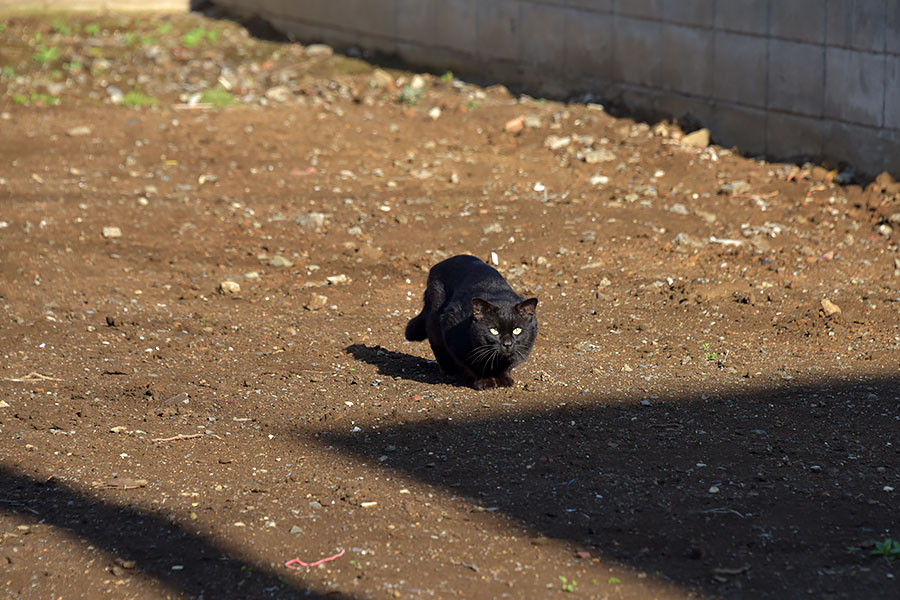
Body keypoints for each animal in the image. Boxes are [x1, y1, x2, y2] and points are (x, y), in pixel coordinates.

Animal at [404, 254, 536, 390]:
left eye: (517, 330)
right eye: (494, 331)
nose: (507, 344)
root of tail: (437, 266)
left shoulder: (524, 347)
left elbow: (509, 364)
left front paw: (504, 379)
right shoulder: (451, 330)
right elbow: (473, 362)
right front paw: (485, 381)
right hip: (435, 320)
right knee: (436, 343)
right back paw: (450, 370)